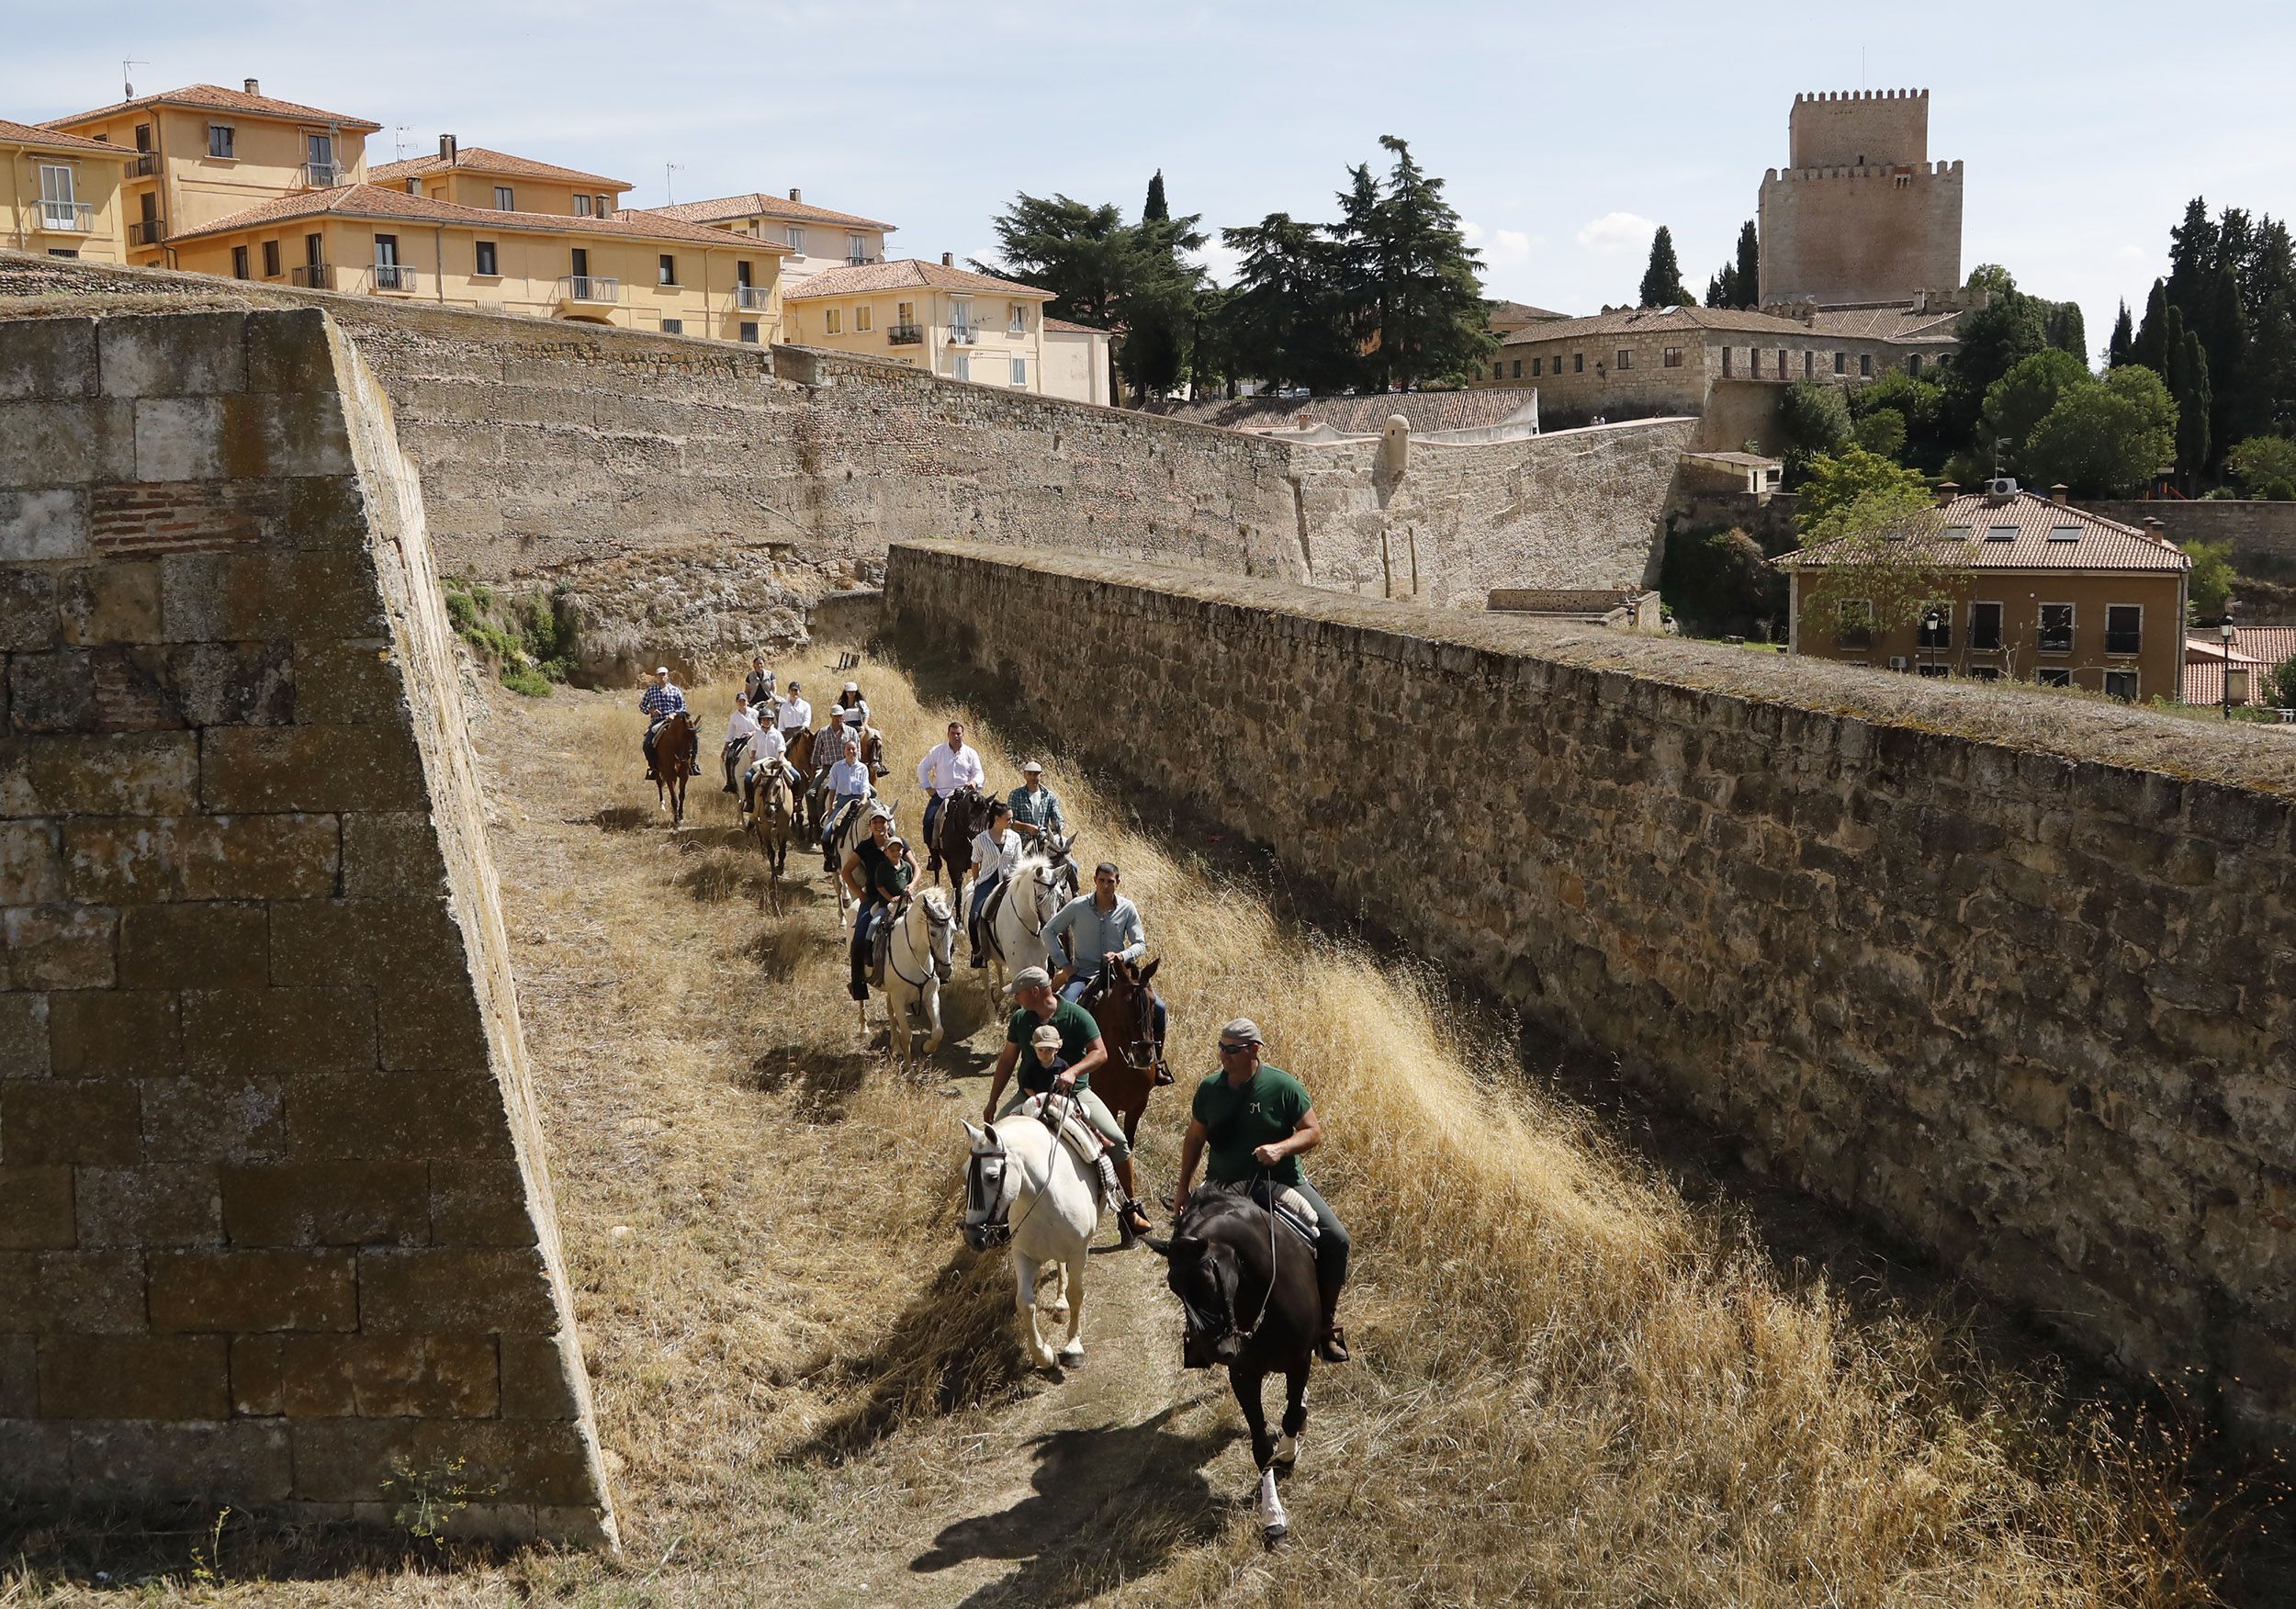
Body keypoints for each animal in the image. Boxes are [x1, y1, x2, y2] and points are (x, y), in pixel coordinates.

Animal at [877, 885, 951, 1060]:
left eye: (954, 931)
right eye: (933, 933)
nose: (946, 971)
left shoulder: (931, 995)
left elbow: (938, 1031)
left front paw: (927, 1048)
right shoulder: (898, 999)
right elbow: (906, 1035)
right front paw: (908, 1065)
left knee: (889, 1010)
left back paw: (895, 1046)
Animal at [964, 1106, 1097, 1367]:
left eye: (992, 1177)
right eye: (965, 1173)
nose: (971, 1238)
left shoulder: (1079, 1252)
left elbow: (1076, 1294)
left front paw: (1073, 1346)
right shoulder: (1022, 1254)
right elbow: (1025, 1302)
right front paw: (1044, 1356)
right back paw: (1059, 1301)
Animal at [1148, 1193, 1332, 1542]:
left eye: (1210, 1279)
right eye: (1173, 1286)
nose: (1216, 1350)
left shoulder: (1299, 1361)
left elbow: (1289, 1417)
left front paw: (1287, 1453)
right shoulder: (1244, 1376)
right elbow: (1260, 1445)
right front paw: (1273, 1515)